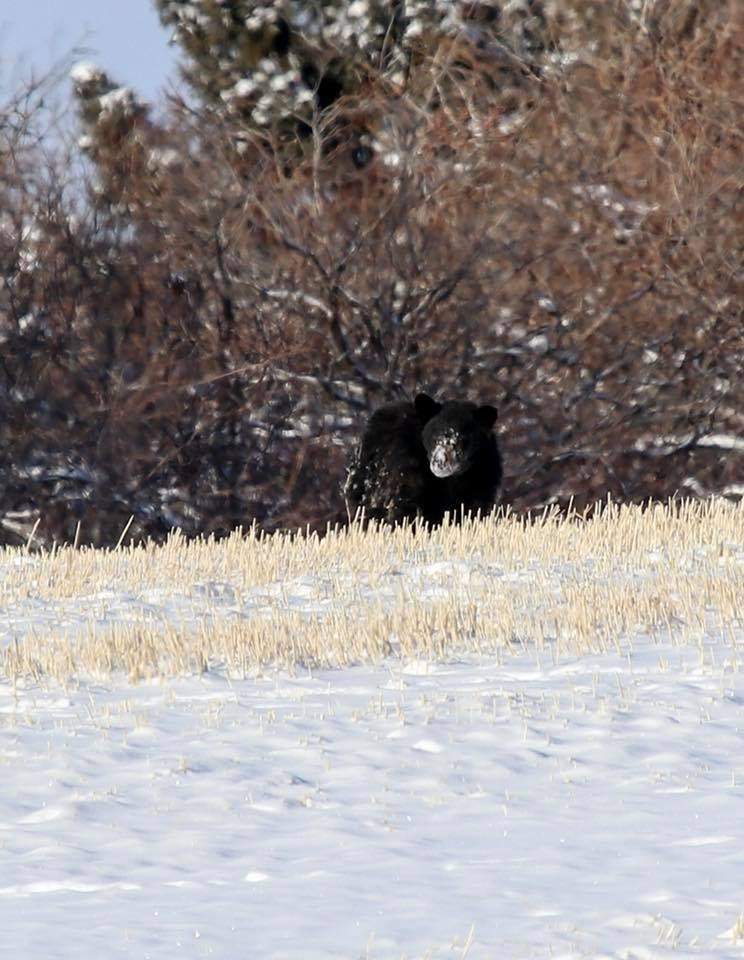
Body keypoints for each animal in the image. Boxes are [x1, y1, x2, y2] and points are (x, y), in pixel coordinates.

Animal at [343, 392, 502, 526]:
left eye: (463, 439)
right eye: (434, 436)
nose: (440, 462)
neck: (451, 480)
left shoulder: (480, 480)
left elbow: (471, 513)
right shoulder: (407, 471)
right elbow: (406, 511)